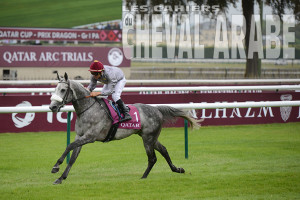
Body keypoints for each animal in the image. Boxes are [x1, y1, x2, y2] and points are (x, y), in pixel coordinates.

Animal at [48, 73, 202, 184]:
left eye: (63, 90)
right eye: (55, 89)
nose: (52, 107)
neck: (87, 109)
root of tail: (157, 109)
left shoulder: (90, 137)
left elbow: (69, 146)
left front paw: (56, 166)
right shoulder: (80, 136)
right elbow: (73, 157)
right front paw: (61, 178)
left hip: (148, 138)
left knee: (152, 158)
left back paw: (143, 177)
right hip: (149, 136)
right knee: (163, 150)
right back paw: (177, 169)